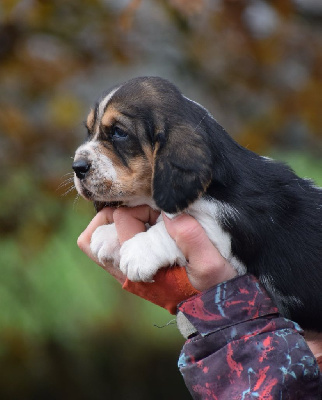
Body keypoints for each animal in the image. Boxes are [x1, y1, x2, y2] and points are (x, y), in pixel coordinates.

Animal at [73, 76, 322, 332]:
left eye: (118, 132)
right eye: (89, 131)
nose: (77, 167)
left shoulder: (227, 230)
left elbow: (170, 228)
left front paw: (139, 250)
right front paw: (109, 235)